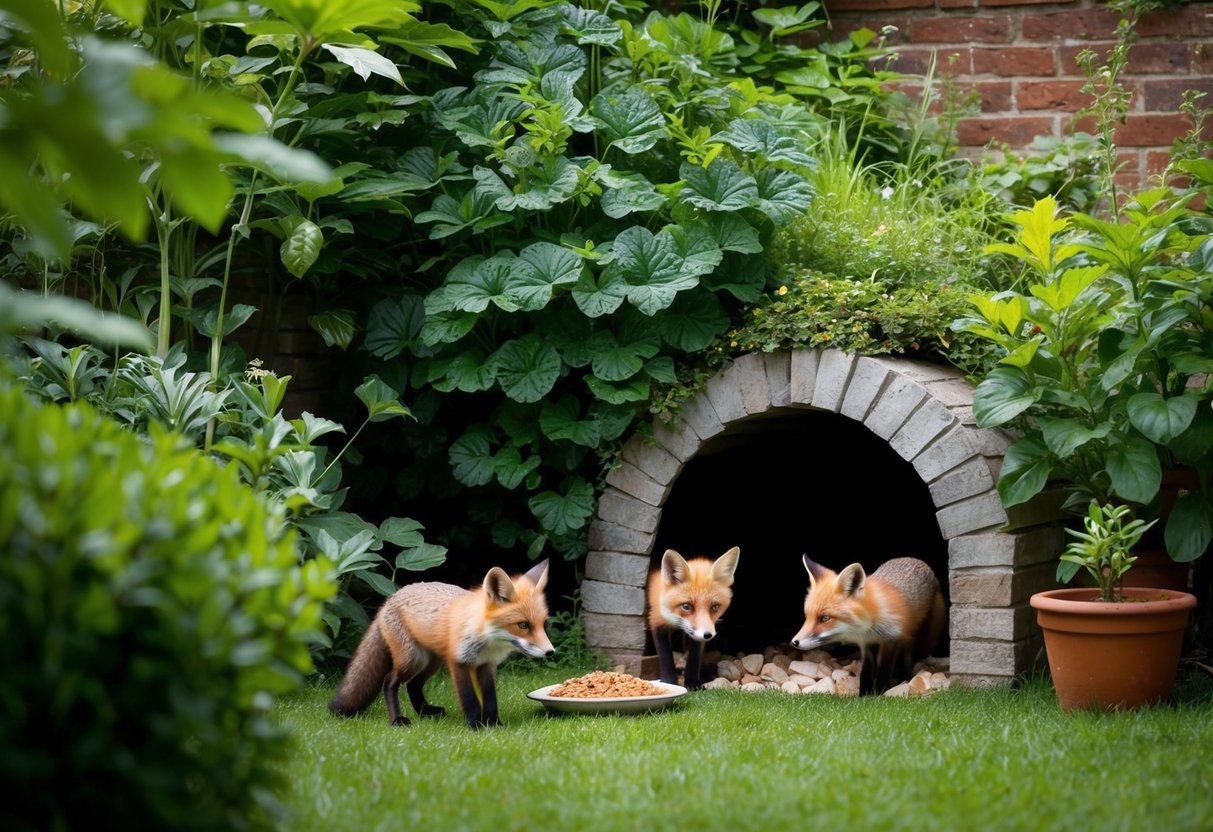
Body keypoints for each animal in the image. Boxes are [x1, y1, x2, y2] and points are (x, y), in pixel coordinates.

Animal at [329, 559, 554, 729]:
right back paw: (397, 720)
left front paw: (493, 724)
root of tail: (390, 598)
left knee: (413, 684)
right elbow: (469, 699)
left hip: (432, 662)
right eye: (523, 625)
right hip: (412, 660)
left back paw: (424, 712)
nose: (550, 652)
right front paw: (475, 726)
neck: (487, 640)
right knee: (390, 681)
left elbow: (490, 698)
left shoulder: (486, 664)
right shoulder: (458, 662)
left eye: (543, 624)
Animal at [646, 547, 741, 690]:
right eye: (686, 606)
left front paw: (692, 683)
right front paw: (669, 682)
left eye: (714, 606)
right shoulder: (657, 622)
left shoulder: (697, 636)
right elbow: (665, 656)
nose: (707, 635)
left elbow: (694, 659)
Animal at [791, 555, 946, 695]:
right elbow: (865, 672)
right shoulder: (866, 644)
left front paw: (878, 693)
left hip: (912, 634)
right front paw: (864, 695)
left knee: (909, 654)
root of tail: (916, 559)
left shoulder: (891, 640)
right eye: (807, 616)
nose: (794, 642)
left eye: (824, 618)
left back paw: (906, 676)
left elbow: (883, 671)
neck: (868, 626)